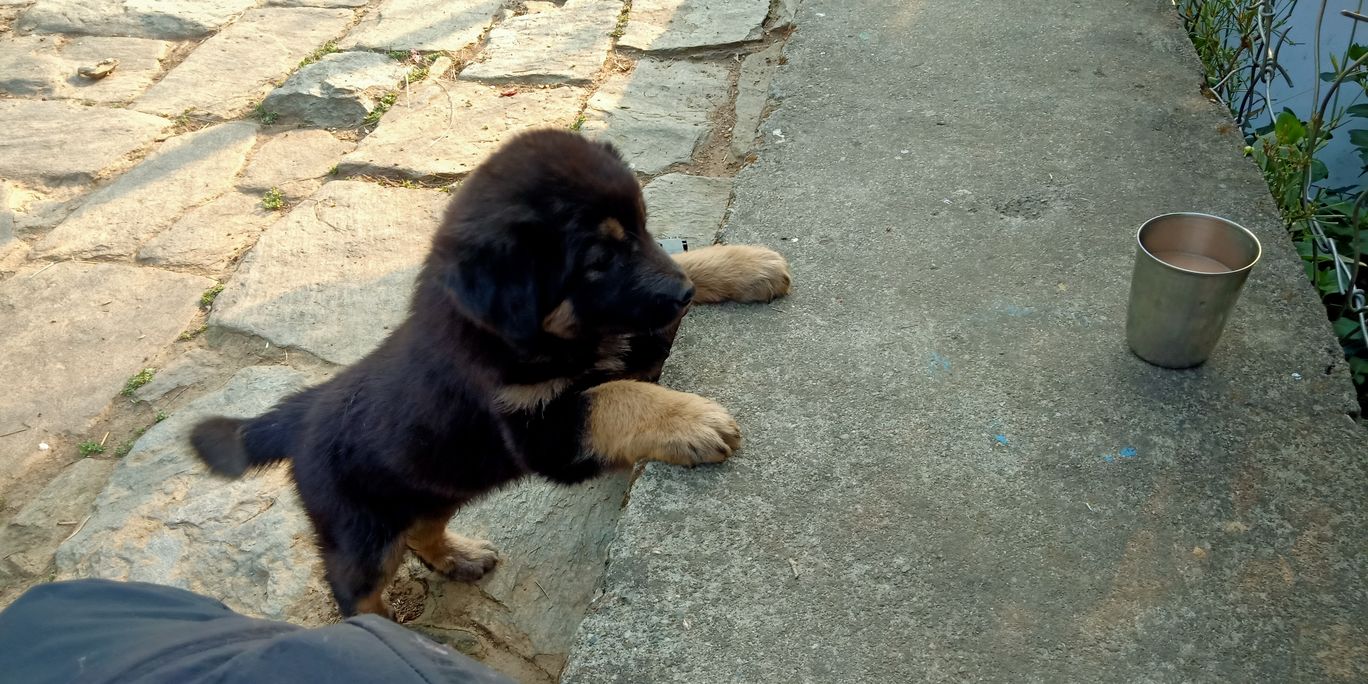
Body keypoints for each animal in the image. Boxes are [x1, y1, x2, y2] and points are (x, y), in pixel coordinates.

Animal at [191, 129, 793, 621]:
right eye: (598, 261)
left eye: (644, 230)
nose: (683, 296)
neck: (522, 336)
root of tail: (300, 412)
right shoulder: (541, 430)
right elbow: (614, 397)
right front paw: (693, 421)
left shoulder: (629, 335)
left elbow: (674, 284)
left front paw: (745, 265)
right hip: (361, 532)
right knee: (356, 591)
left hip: (434, 484)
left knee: (422, 530)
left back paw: (459, 557)